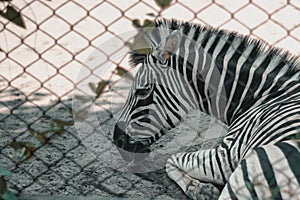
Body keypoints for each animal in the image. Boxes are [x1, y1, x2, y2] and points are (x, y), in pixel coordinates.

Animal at [112, 19, 300, 200]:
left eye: (142, 91)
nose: (117, 141)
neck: (261, 98)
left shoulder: (225, 156)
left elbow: (172, 159)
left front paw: (199, 188)